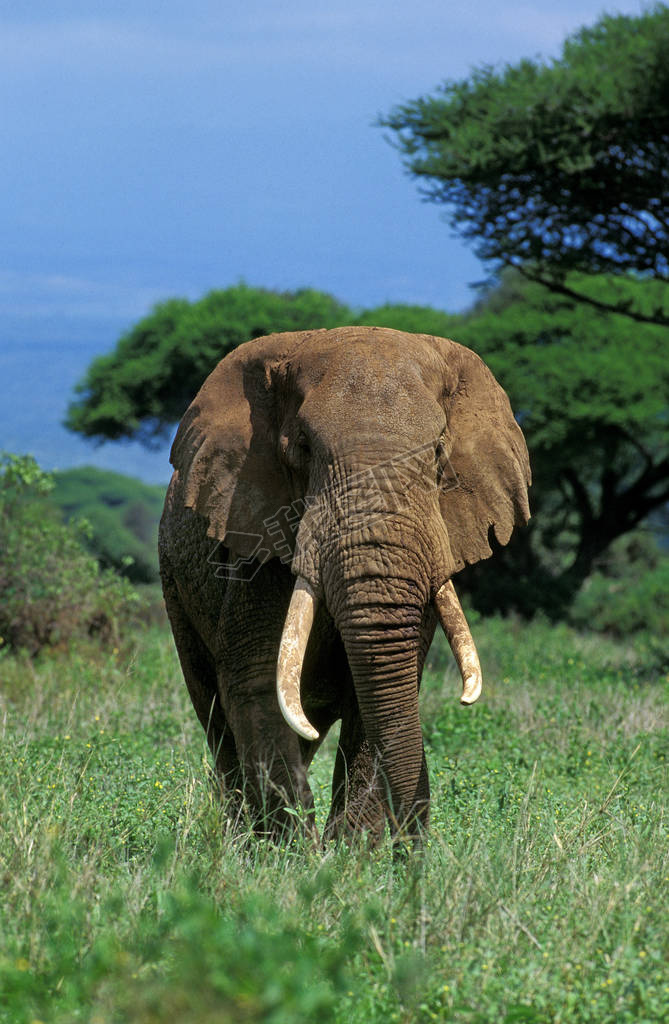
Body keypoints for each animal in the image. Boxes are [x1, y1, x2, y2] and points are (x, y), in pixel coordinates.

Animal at [158, 327, 528, 847]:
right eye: (304, 448)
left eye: (438, 451)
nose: (413, 849)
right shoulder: (253, 541)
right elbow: (255, 684)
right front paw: (292, 854)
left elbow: (381, 695)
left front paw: (349, 854)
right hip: (175, 585)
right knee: (216, 714)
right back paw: (237, 838)